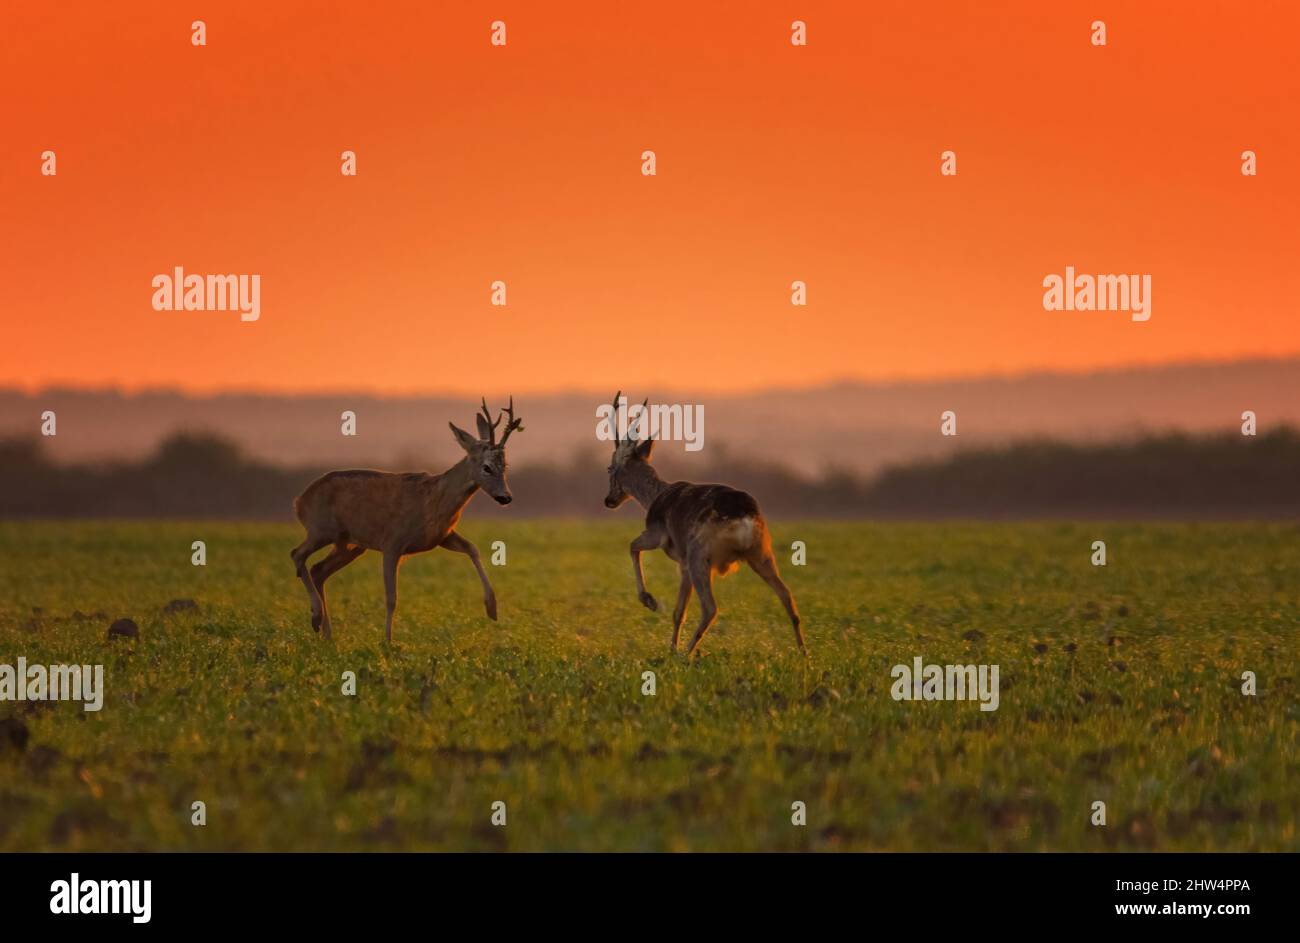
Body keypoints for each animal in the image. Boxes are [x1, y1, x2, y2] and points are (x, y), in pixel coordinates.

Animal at [290, 398, 523, 642]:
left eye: (505, 465)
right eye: (487, 467)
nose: (505, 497)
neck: (434, 500)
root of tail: (300, 501)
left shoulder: (441, 536)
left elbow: (473, 548)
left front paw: (492, 608)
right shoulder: (393, 541)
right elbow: (391, 598)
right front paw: (388, 642)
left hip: (350, 544)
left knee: (318, 569)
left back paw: (327, 634)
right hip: (321, 529)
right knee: (297, 554)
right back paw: (316, 617)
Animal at [602, 392, 806, 658]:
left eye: (609, 468)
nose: (608, 500)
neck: (655, 496)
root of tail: (744, 516)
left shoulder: (660, 536)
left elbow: (633, 546)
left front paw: (650, 602)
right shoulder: (683, 563)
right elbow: (679, 611)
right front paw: (670, 647)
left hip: (700, 554)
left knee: (711, 608)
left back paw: (687, 654)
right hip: (761, 552)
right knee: (787, 595)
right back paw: (804, 653)